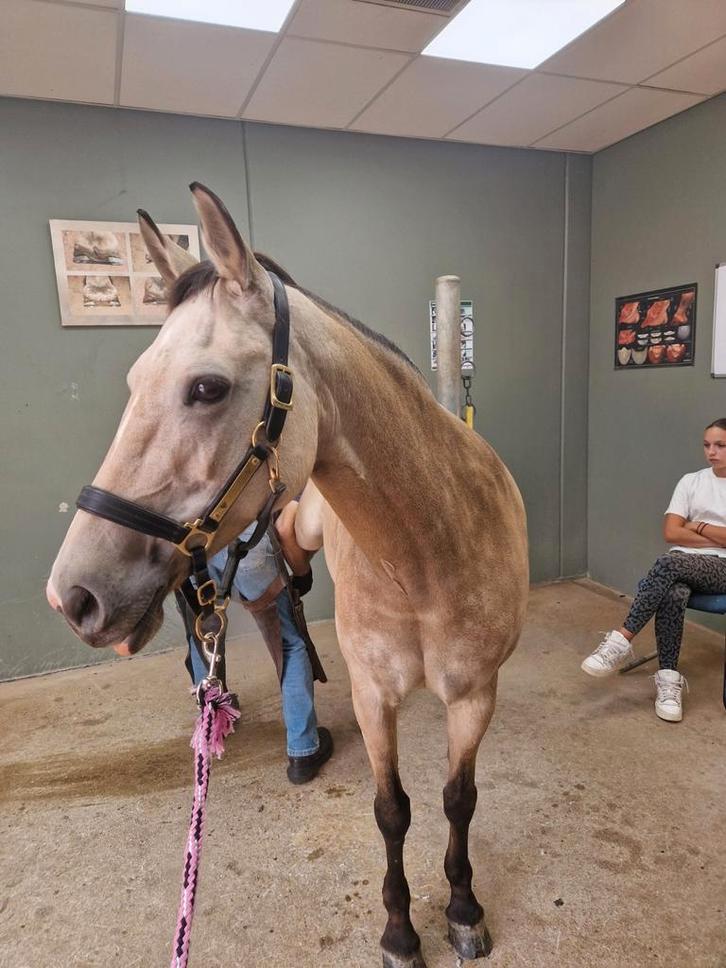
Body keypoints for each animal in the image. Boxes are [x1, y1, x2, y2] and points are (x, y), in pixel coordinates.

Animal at [47, 183, 529, 968]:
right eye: (134, 381)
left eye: (206, 387)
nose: (73, 596)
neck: (429, 551)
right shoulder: (374, 696)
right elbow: (392, 809)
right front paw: (401, 932)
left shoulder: (473, 695)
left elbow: (459, 800)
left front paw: (462, 909)